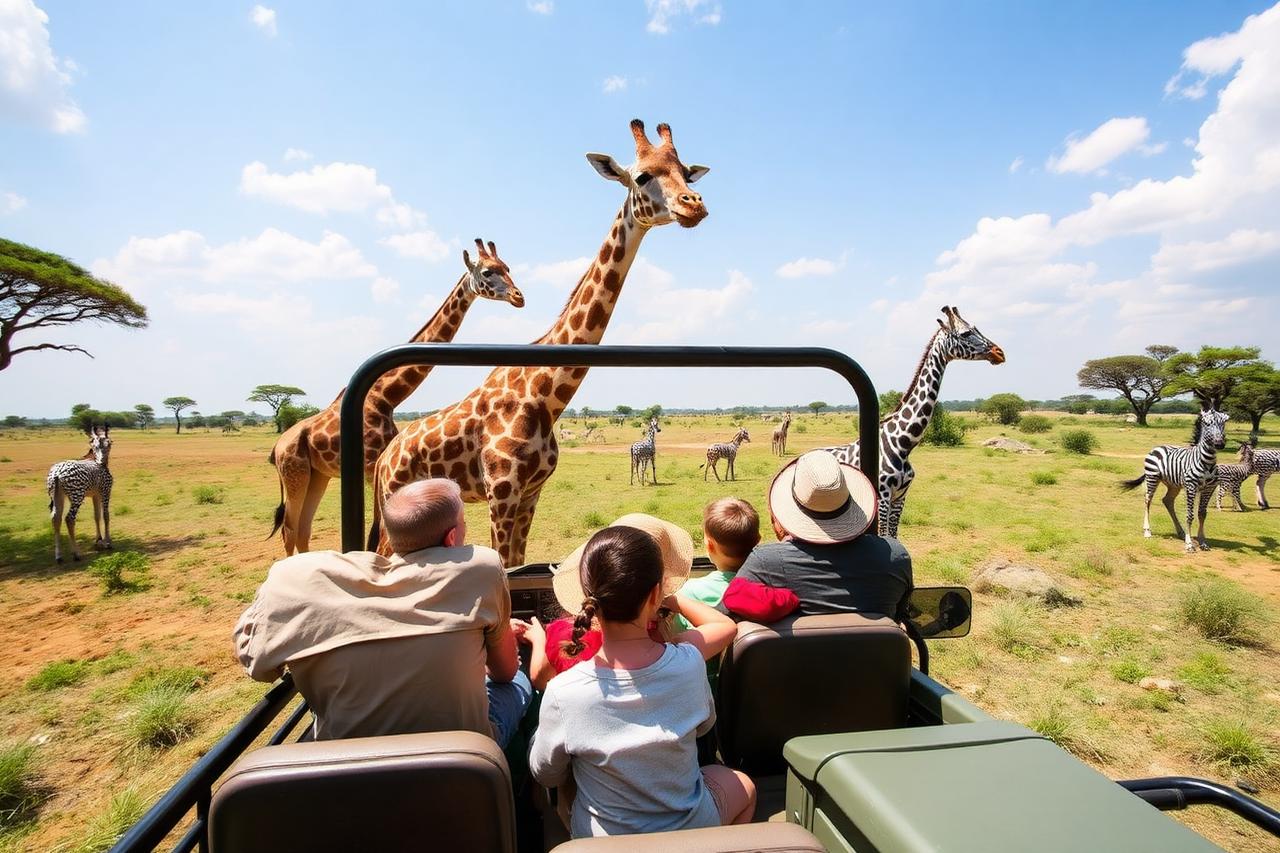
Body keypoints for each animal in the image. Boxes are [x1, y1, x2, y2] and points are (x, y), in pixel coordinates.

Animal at [47, 424, 115, 563]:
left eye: (108, 443)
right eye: (96, 446)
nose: (101, 461)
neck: (93, 459)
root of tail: (57, 472)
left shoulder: (95, 495)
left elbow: (96, 515)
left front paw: (98, 540)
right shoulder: (106, 491)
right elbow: (106, 515)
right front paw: (108, 542)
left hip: (57, 496)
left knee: (55, 518)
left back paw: (58, 556)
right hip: (77, 497)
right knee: (69, 519)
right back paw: (76, 554)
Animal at [267, 240, 524, 555]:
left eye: (507, 267)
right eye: (488, 272)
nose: (518, 296)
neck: (386, 395)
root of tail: (277, 446)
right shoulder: (370, 468)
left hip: (318, 475)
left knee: (304, 528)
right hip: (296, 473)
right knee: (289, 530)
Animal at [372, 119, 710, 565]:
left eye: (686, 172)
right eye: (641, 176)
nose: (694, 205)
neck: (545, 395)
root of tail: (383, 459)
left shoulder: (532, 493)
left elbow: (518, 563)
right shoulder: (502, 493)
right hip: (395, 505)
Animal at [824, 307, 1005, 537]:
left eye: (976, 328)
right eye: (965, 333)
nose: (999, 353)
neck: (904, 443)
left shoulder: (901, 496)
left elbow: (893, 535)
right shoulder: (883, 494)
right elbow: (884, 535)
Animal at [1120, 403, 1228, 552]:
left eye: (1224, 422)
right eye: (1207, 423)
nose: (1219, 444)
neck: (1207, 461)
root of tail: (1157, 447)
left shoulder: (1209, 488)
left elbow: (1202, 513)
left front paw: (1202, 541)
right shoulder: (1191, 486)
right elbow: (1190, 515)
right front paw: (1189, 544)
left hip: (1173, 484)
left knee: (1167, 501)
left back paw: (1181, 532)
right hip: (1152, 477)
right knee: (1147, 500)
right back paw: (1147, 531)